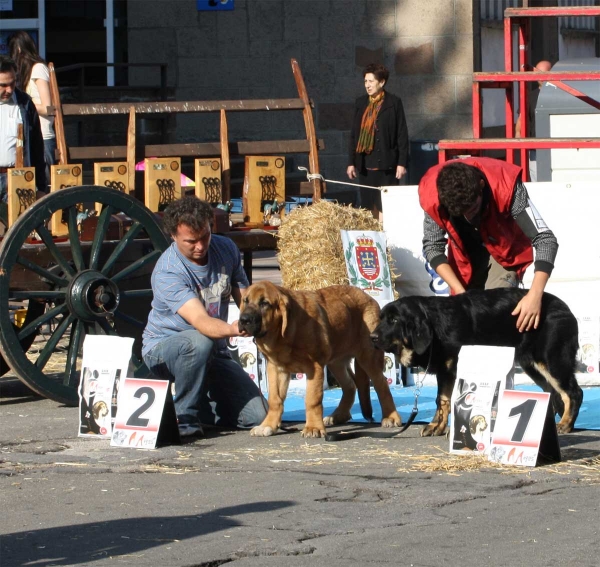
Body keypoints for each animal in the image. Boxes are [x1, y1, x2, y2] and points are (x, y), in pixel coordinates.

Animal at [237, 280, 400, 440]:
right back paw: (338, 416)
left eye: (264, 303)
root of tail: (369, 297)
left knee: (382, 385)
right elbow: (275, 400)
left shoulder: (314, 368)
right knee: (350, 385)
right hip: (336, 362)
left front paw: (313, 427)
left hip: (368, 357)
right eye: (245, 301)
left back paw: (391, 417)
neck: (283, 334)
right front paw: (268, 425)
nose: (243, 320)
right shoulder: (276, 368)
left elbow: (312, 399)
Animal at [372, 290, 584, 438]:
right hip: (533, 366)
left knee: (573, 393)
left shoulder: (457, 370)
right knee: (554, 394)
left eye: (394, 320)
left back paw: (565, 424)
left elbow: (453, 400)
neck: (435, 324)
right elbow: (442, 400)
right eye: (382, 318)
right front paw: (436, 426)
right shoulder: (445, 371)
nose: (372, 337)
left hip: (552, 361)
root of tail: (566, 309)